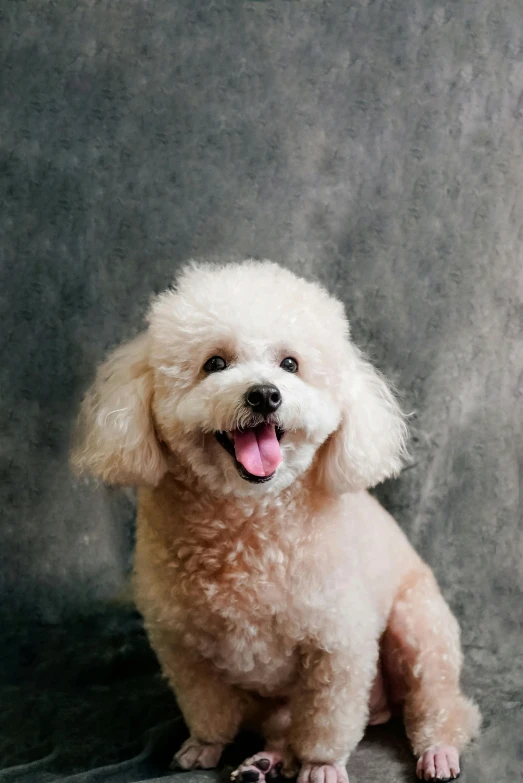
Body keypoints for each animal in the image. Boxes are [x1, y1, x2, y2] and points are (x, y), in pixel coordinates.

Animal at [71, 262, 482, 783]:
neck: (247, 523)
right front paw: (206, 746)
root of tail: (382, 709)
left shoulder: (338, 646)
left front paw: (322, 765)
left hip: (420, 631)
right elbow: (206, 708)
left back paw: (437, 751)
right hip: (274, 702)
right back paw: (263, 762)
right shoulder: (183, 649)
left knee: (440, 706)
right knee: (283, 730)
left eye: (290, 364)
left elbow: (327, 718)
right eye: (215, 363)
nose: (265, 395)